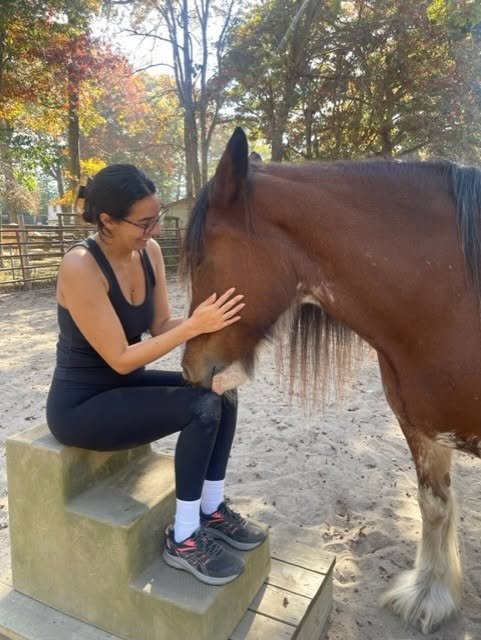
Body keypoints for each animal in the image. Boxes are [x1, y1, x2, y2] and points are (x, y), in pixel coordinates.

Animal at [180, 127, 481, 634]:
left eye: (201, 258)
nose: (189, 367)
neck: (451, 300)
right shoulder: (422, 429)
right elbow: (434, 505)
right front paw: (429, 596)